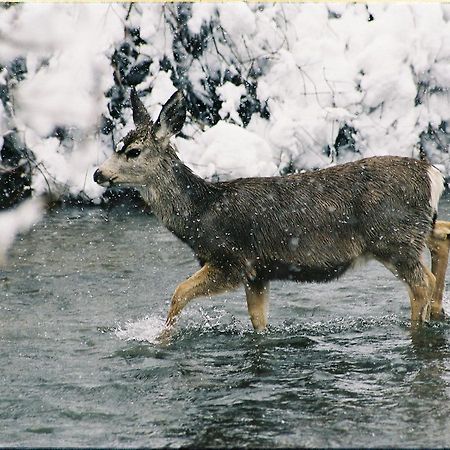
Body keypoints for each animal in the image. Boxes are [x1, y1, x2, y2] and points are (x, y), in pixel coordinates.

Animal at [93, 89, 448, 332]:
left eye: (133, 151)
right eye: (117, 145)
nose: (98, 173)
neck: (200, 213)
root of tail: (431, 174)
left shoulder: (231, 260)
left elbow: (178, 292)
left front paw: (161, 336)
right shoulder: (258, 273)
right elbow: (258, 320)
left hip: (392, 238)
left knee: (422, 281)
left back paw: (419, 325)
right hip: (411, 231)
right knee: (440, 236)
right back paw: (437, 311)